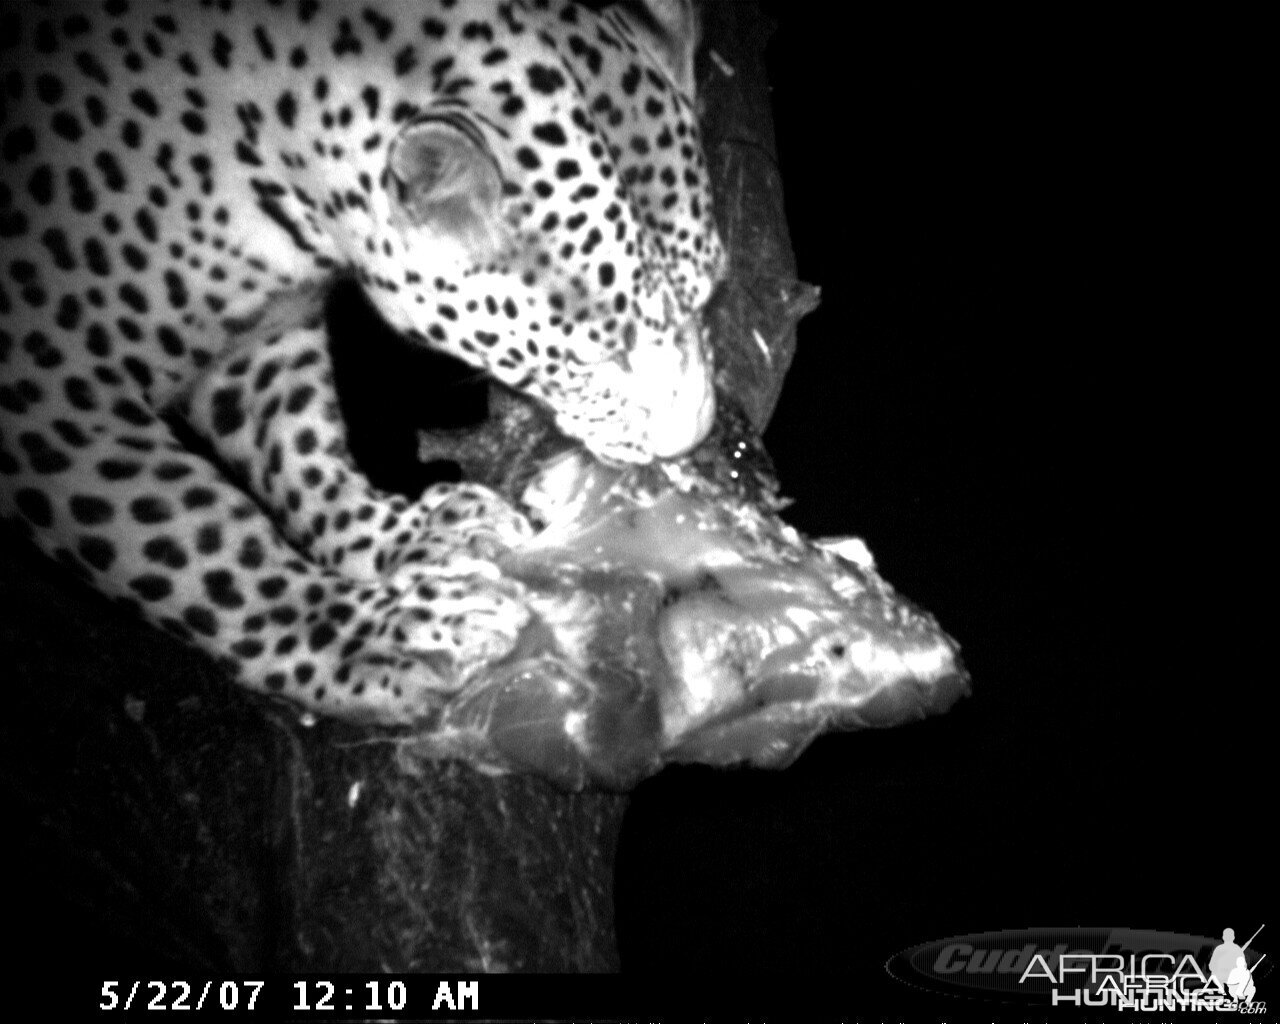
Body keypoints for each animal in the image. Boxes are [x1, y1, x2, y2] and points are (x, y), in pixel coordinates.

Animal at [0, 0, 727, 721]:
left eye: (710, 296)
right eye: (597, 355)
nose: (690, 442)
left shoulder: (263, 339)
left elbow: (303, 454)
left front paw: (415, 535)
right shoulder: (54, 396)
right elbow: (203, 546)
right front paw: (379, 639)